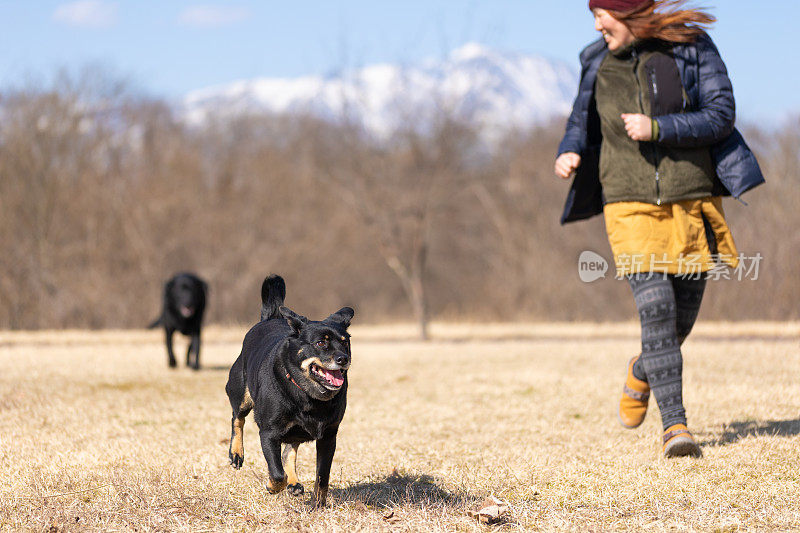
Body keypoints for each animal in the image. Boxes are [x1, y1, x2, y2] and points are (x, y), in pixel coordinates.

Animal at [223, 274, 352, 508]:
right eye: (321, 343)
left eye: (345, 343)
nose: (343, 359)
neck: (307, 395)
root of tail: (270, 317)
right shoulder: (268, 433)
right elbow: (276, 473)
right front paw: (272, 487)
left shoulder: (329, 436)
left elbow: (322, 475)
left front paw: (318, 505)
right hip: (241, 393)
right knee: (237, 418)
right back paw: (236, 453)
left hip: (295, 430)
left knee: (289, 450)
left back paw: (294, 483)